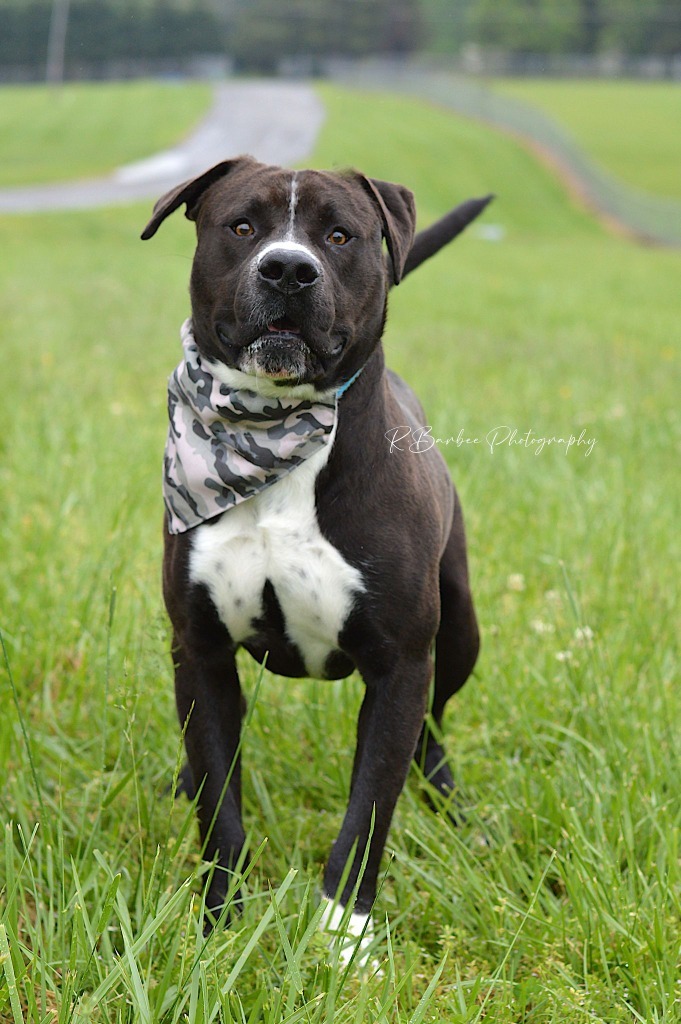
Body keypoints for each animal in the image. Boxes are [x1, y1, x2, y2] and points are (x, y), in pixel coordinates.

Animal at [140, 155, 485, 954]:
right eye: (241, 226)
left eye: (339, 235)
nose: (289, 269)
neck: (273, 433)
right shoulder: (199, 649)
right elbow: (220, 806)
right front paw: (222, 927)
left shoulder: (400, 665)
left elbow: (368, 815)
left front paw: (345, 940)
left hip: (459, 628)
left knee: (434, 727)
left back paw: (448, 804)